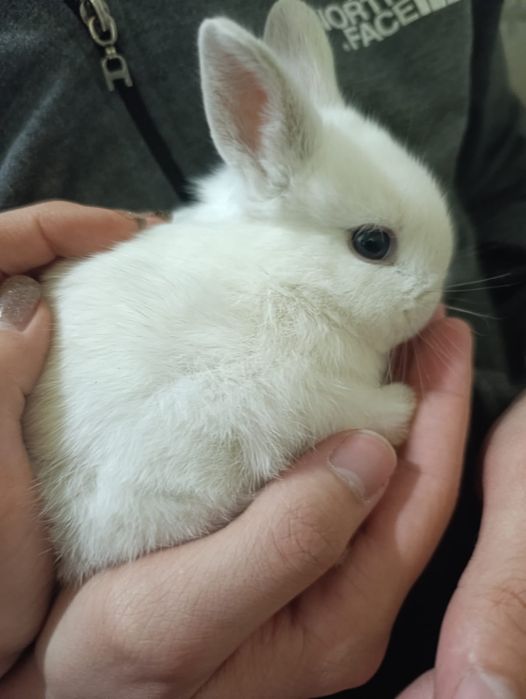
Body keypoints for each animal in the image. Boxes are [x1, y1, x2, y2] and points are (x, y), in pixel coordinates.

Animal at [23, 0, 453, 583]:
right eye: (372, 243)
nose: (432, 301)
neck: (287, 280)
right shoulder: (289, 394)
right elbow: (355, 410)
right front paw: (403, 405)